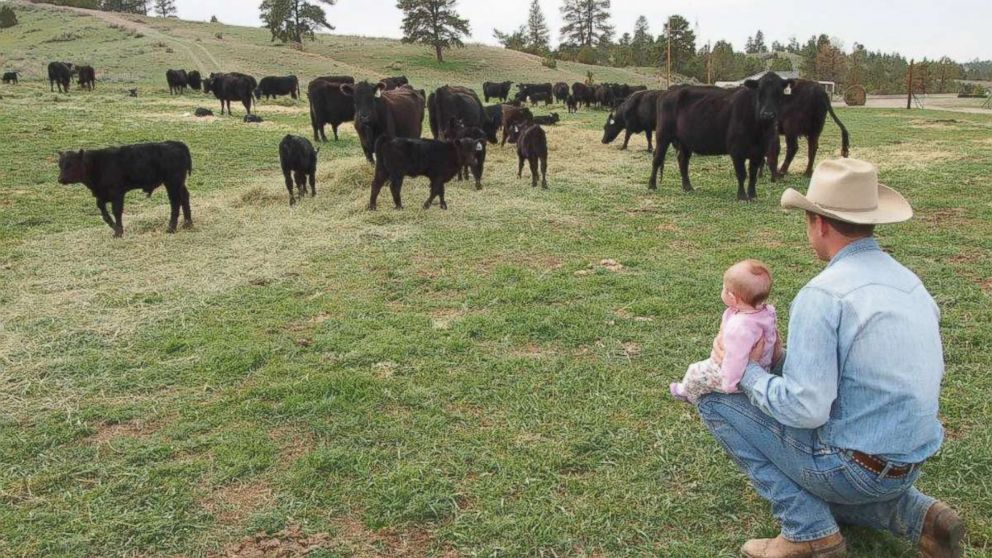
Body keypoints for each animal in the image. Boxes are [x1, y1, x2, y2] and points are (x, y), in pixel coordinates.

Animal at [56, 141, 193, 237]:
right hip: (179, 183)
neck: (98, 164)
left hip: (172, 182)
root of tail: (176, 143)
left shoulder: (117, 193)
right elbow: (104, 214)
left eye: (71, 164)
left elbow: (116, 211)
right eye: (60, 165)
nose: (60, 179)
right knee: (184, 197)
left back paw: (171, 228)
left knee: (175, 202)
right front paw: (114, 227)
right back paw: (187, 224)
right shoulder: (101, 196)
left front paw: (118, 232)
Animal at [649, 73, 792, 200]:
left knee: (683, 161)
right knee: (657, 159)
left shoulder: (759, 152)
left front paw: (753, 195)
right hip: (663, 135)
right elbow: (741, 174)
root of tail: (670, 91)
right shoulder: (736, 150)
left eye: (779, 92)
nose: (768, 114)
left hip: (685, 141)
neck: (759, 130)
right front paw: (742, 196)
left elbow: (752, 175)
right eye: (759, 92)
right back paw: (652, 185)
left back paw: (687, 187)